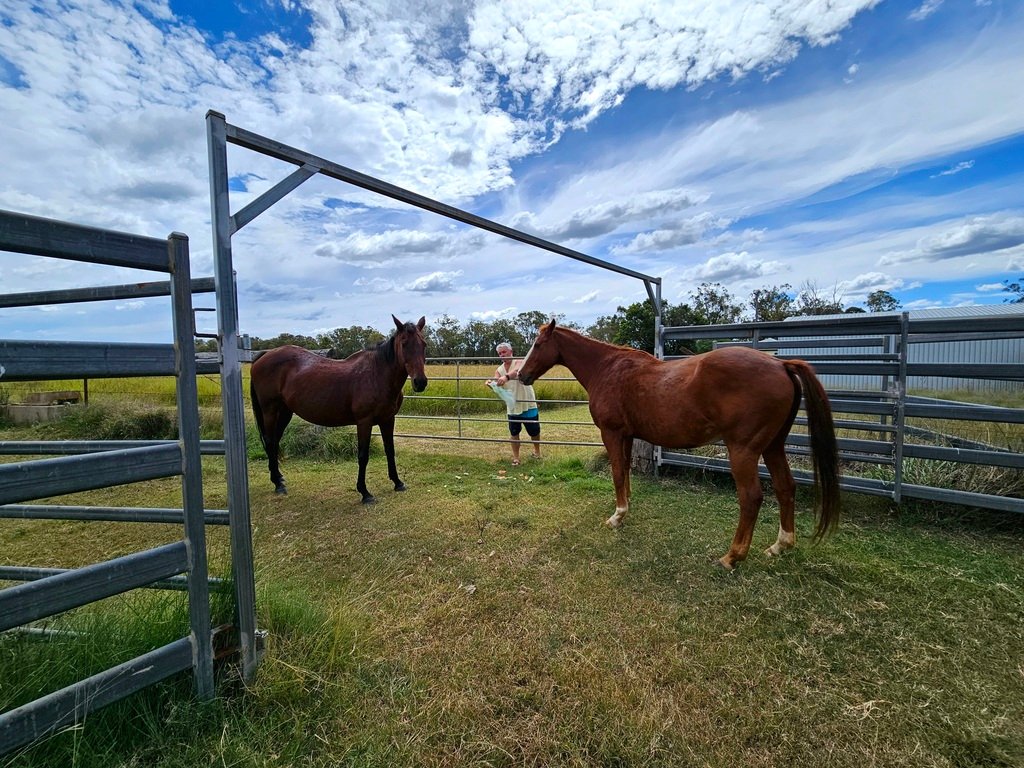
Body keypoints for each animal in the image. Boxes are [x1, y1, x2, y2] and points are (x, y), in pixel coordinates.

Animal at [251, 315, 428, 501]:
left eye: (423, 344)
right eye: (404, 343)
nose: (420, 382)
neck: (377, 374)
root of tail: (264, 355)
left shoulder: (388, 419)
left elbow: (390, 450)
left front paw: (397, 482)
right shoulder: (364, 422)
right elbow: (363, 455)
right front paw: (365, 492)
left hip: (285, 412)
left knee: (275, 441)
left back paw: (278, 479)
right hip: (270, 411)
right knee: (270, 441)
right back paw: (277, 485)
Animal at [520, 319, 839, 573]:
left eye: (538, 344)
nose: (520, 375)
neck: (607, 368)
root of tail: (780, 364)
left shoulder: (611, 433)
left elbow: (617, 473)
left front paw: (617, 516)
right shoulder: (627, 435)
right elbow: (625, 472)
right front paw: (626, 507)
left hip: (744, 451)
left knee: (751, 498)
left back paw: (732, 557)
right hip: (773, 446)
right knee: (786, 488)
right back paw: (780, 545)